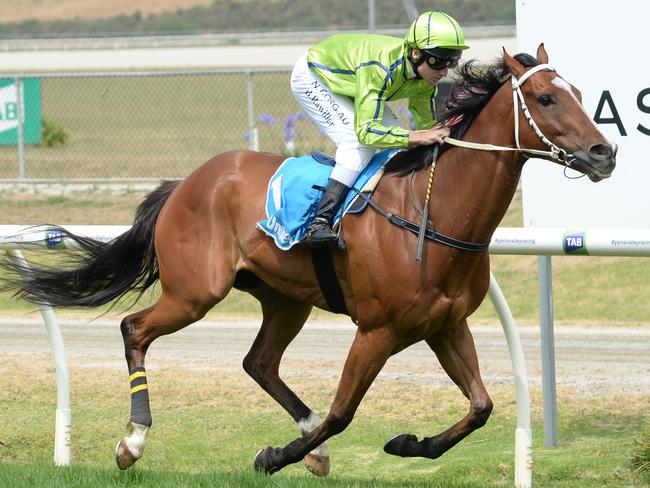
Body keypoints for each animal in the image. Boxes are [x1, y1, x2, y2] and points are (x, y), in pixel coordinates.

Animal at [2, 46, 616, 476]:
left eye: (581, 92)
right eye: (546, 99)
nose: (604, 153)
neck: (432, 209)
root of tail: (187, 181)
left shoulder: (445, 325)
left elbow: (482, 406)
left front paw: (408, 443)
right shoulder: (377, 330)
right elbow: (344, 412)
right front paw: (275, 456)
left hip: (283, 298)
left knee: (259, 362)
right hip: (195, 292)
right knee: (135, 329)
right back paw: (133, 441)